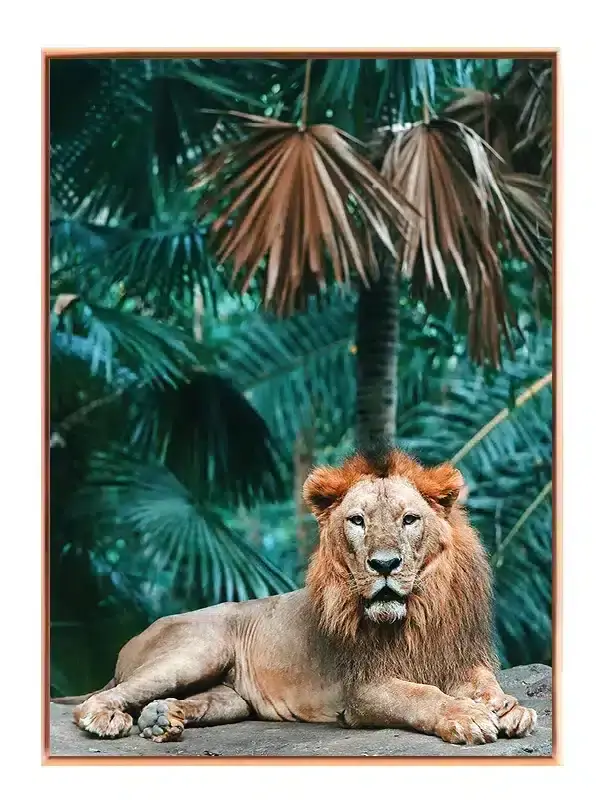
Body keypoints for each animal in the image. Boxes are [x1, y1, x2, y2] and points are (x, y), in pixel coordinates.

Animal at [54, 447, 537, 746]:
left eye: (409, 519)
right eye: (358, 521)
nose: (384, 565)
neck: (419, 610)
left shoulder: (458, 658)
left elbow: (487, 684)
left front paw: (509, 708)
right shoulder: (365, 689)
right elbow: (423, 696)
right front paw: (467, 716)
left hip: (230, 698)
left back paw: (160, 719)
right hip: (198, 649)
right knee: (97, 700)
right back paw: (109, 718)